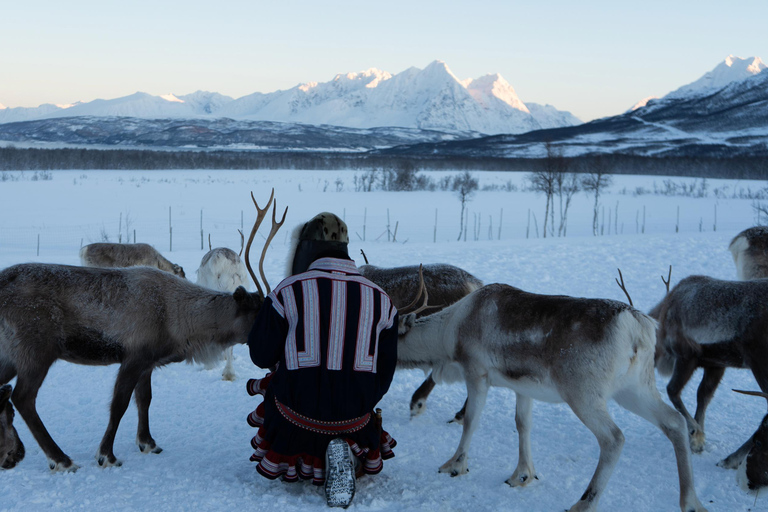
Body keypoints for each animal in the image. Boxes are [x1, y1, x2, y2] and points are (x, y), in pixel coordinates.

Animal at [396, 270, 707, 512]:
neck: (450, 331)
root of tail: (637, 326)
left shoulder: (476, 373)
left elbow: (471, 421)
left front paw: (455, 465)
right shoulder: (522, 387)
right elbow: (523, 424)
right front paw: (522, 475)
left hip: (583, 394)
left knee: (614, 438)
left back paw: (584, 502)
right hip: (634, 389)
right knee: (674, 422)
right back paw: (691, 502)